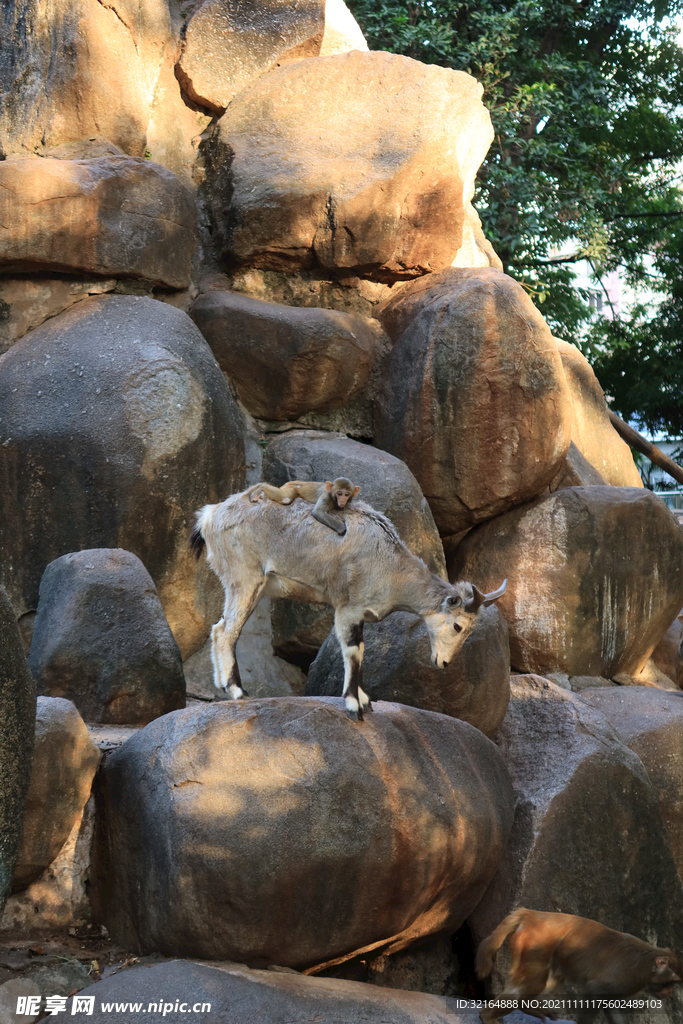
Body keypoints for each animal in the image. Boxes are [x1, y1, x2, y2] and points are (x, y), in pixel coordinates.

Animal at [189, 489, 505, 720]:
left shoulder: (360, 614)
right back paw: (239, 691)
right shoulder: (347, 608)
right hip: (245, 580)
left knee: (218, 628)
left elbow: (362, 649)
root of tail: (210, 516)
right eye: (458, 625)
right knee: (228, 631)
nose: (444, 662)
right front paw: (354, 705)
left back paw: (224, 687)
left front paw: (366, 701)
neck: (389, 565)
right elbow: (353, 650)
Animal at [475, 905, 683, 1024]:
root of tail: (532, 915)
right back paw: (488, 1016)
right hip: (534, 943)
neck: (646, 965)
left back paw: (529, 1008)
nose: (669, 992)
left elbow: (610, 1005)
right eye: (670, 982)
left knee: (551, 978)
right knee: (533, 982)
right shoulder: (626, 979)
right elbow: (594, 992)